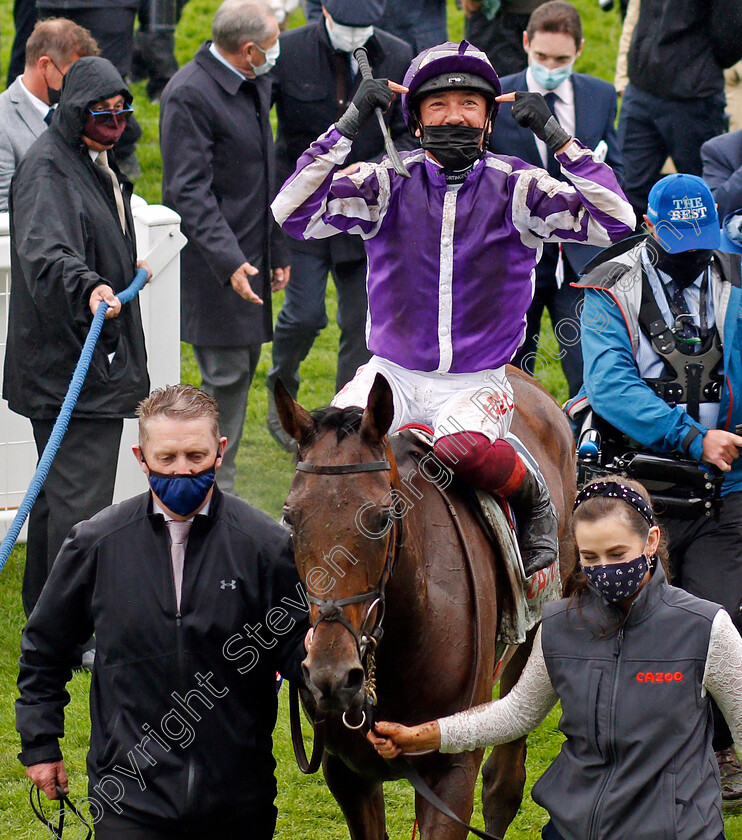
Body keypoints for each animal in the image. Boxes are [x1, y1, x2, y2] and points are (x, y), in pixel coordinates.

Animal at [276, 370, 580, 840]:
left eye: (383, 517)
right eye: (291, 517)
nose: (331, 675)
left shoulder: (451, 769)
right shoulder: (345, 771)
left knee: (504, 781)